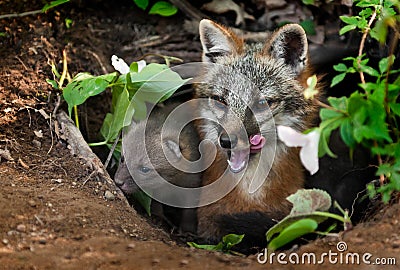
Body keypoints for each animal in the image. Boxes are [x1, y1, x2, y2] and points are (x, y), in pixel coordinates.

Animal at [114, 98, 202, 233]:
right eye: (123, 159)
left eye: (144, 169)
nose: (118, 182)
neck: (171, 183)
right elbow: (155, 205)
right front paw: (157, 217)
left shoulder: (193, 186)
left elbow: (189, 211)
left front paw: (188, 230)